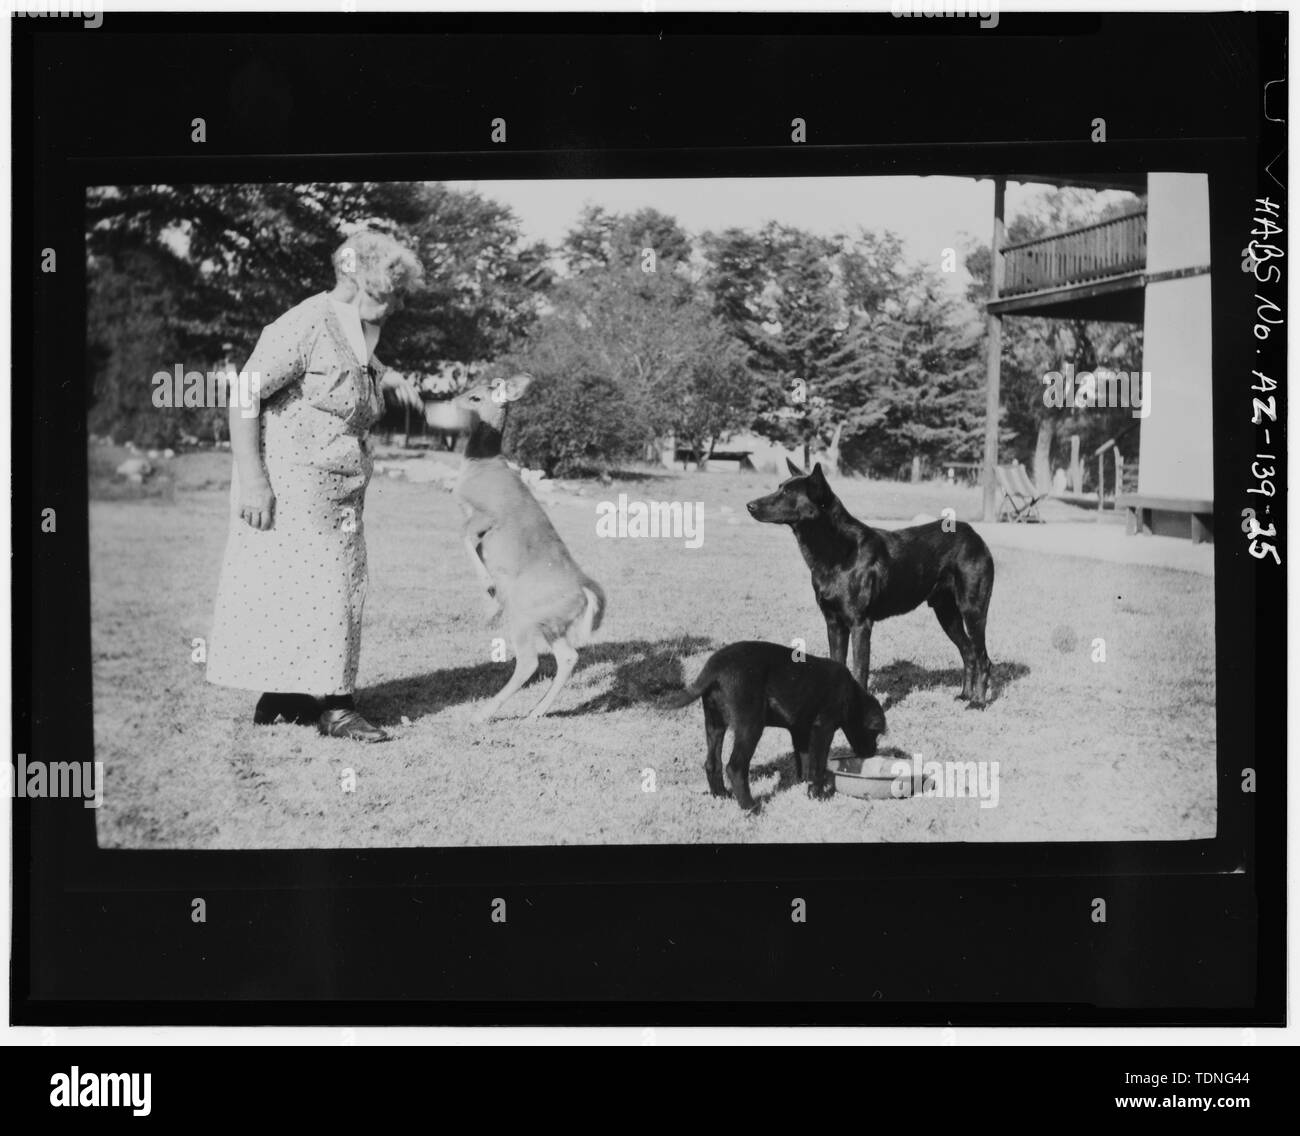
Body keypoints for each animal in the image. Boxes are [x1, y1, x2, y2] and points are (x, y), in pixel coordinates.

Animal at [449, 376, 605, 722]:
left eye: (475, 397)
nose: (451, 404)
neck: (484, 464)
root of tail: (583, 592)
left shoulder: (485, 516)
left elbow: (465, 537)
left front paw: (489, 597)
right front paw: (488, 601)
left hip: (525, 615)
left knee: (530, 661)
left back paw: (483, 713)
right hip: (550, 623)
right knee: (568, 657)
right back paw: (535, 712)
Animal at [665, 642, 889, 811]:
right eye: (875, 733)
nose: (872, 752)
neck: (852, 696)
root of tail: (715, 668)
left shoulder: (800, 731)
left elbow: (805, 759)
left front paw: (804, 783)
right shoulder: (823, 728)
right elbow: (817, 764)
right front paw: (816, 794)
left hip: (714, 724)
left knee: (712, 763)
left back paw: (721, 795)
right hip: (750, 726)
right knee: (735, 767)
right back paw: (750, 807)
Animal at [743, 457, 993, 701]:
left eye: (787, 493)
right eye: (779, 488)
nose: (749, 505)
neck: (838, 549)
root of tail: (975, 536)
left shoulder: (860, 624)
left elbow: (859, 671)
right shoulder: (834, 622)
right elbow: (839, 664)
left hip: (973, 610)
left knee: (983, 658)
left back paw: (977, 702)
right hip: (946, 613)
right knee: (969, 652)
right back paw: (964, 695)